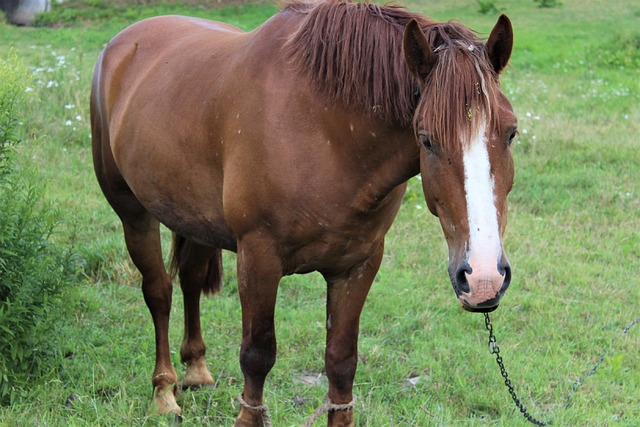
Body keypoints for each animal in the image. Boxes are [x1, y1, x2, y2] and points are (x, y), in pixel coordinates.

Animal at [90, 1, 516, 426]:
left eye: (511, 132)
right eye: (426, 139)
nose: (483, 278)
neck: (326, 130)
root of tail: (120, 44)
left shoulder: (358, 265)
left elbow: (341, 362)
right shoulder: (258, 258)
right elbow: (256, 357)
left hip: (194, 219)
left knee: (191, 280)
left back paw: (196, 370)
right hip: (133, 213)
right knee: (158, 292)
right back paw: (164, 391)